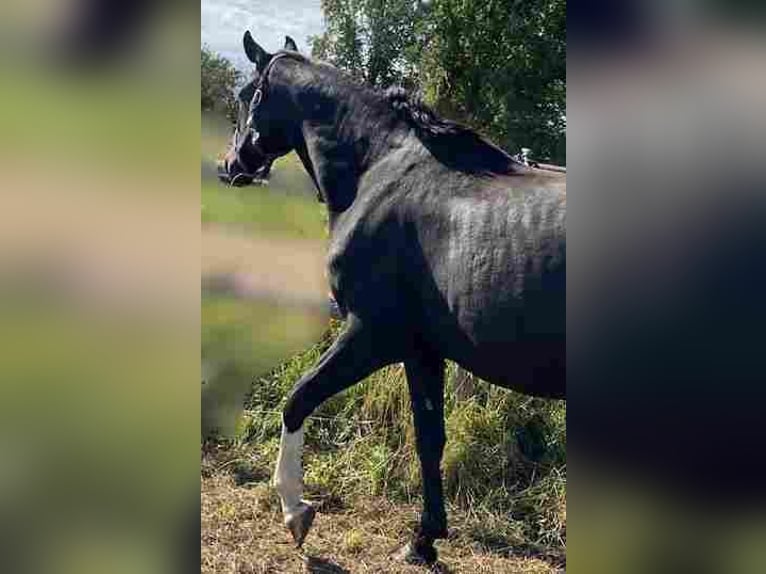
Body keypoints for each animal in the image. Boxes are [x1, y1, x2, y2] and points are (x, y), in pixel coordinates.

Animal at [222, 32, 566, 565]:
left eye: (245, 95)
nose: (231, 165)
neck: (380, 172)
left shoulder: (373, 335)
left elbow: (298, 399)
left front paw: (296, 511)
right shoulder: (422, 350)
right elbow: (429, 438)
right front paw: (424, 541)